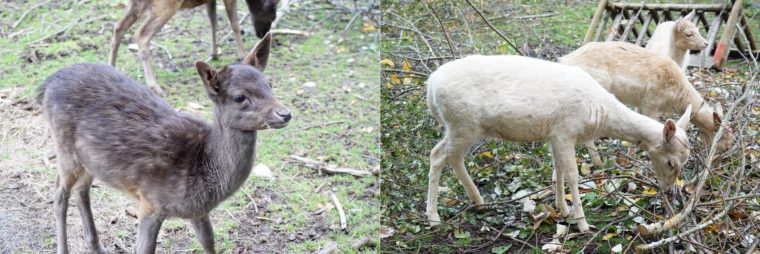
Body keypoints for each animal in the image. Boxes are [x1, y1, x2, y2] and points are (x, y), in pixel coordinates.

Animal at [424, 55, 692, 232]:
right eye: (671, 163)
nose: (669, 191)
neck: (599, 114)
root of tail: (430, 86)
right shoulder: (565, 131)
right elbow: (572, 174)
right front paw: (582, 223)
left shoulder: (554, 135)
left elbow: (558, 169)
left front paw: (562, 209)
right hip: (462, 123)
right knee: (438, 155)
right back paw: (434, 217)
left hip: (462, 127)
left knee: (449, 156)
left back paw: (477, 202)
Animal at [560, 41, 732, 167]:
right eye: (724, 144)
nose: (716, 165)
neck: (675, 97)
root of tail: (564, 60)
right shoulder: (651, 103)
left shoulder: (641, 103)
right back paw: (599, 163)